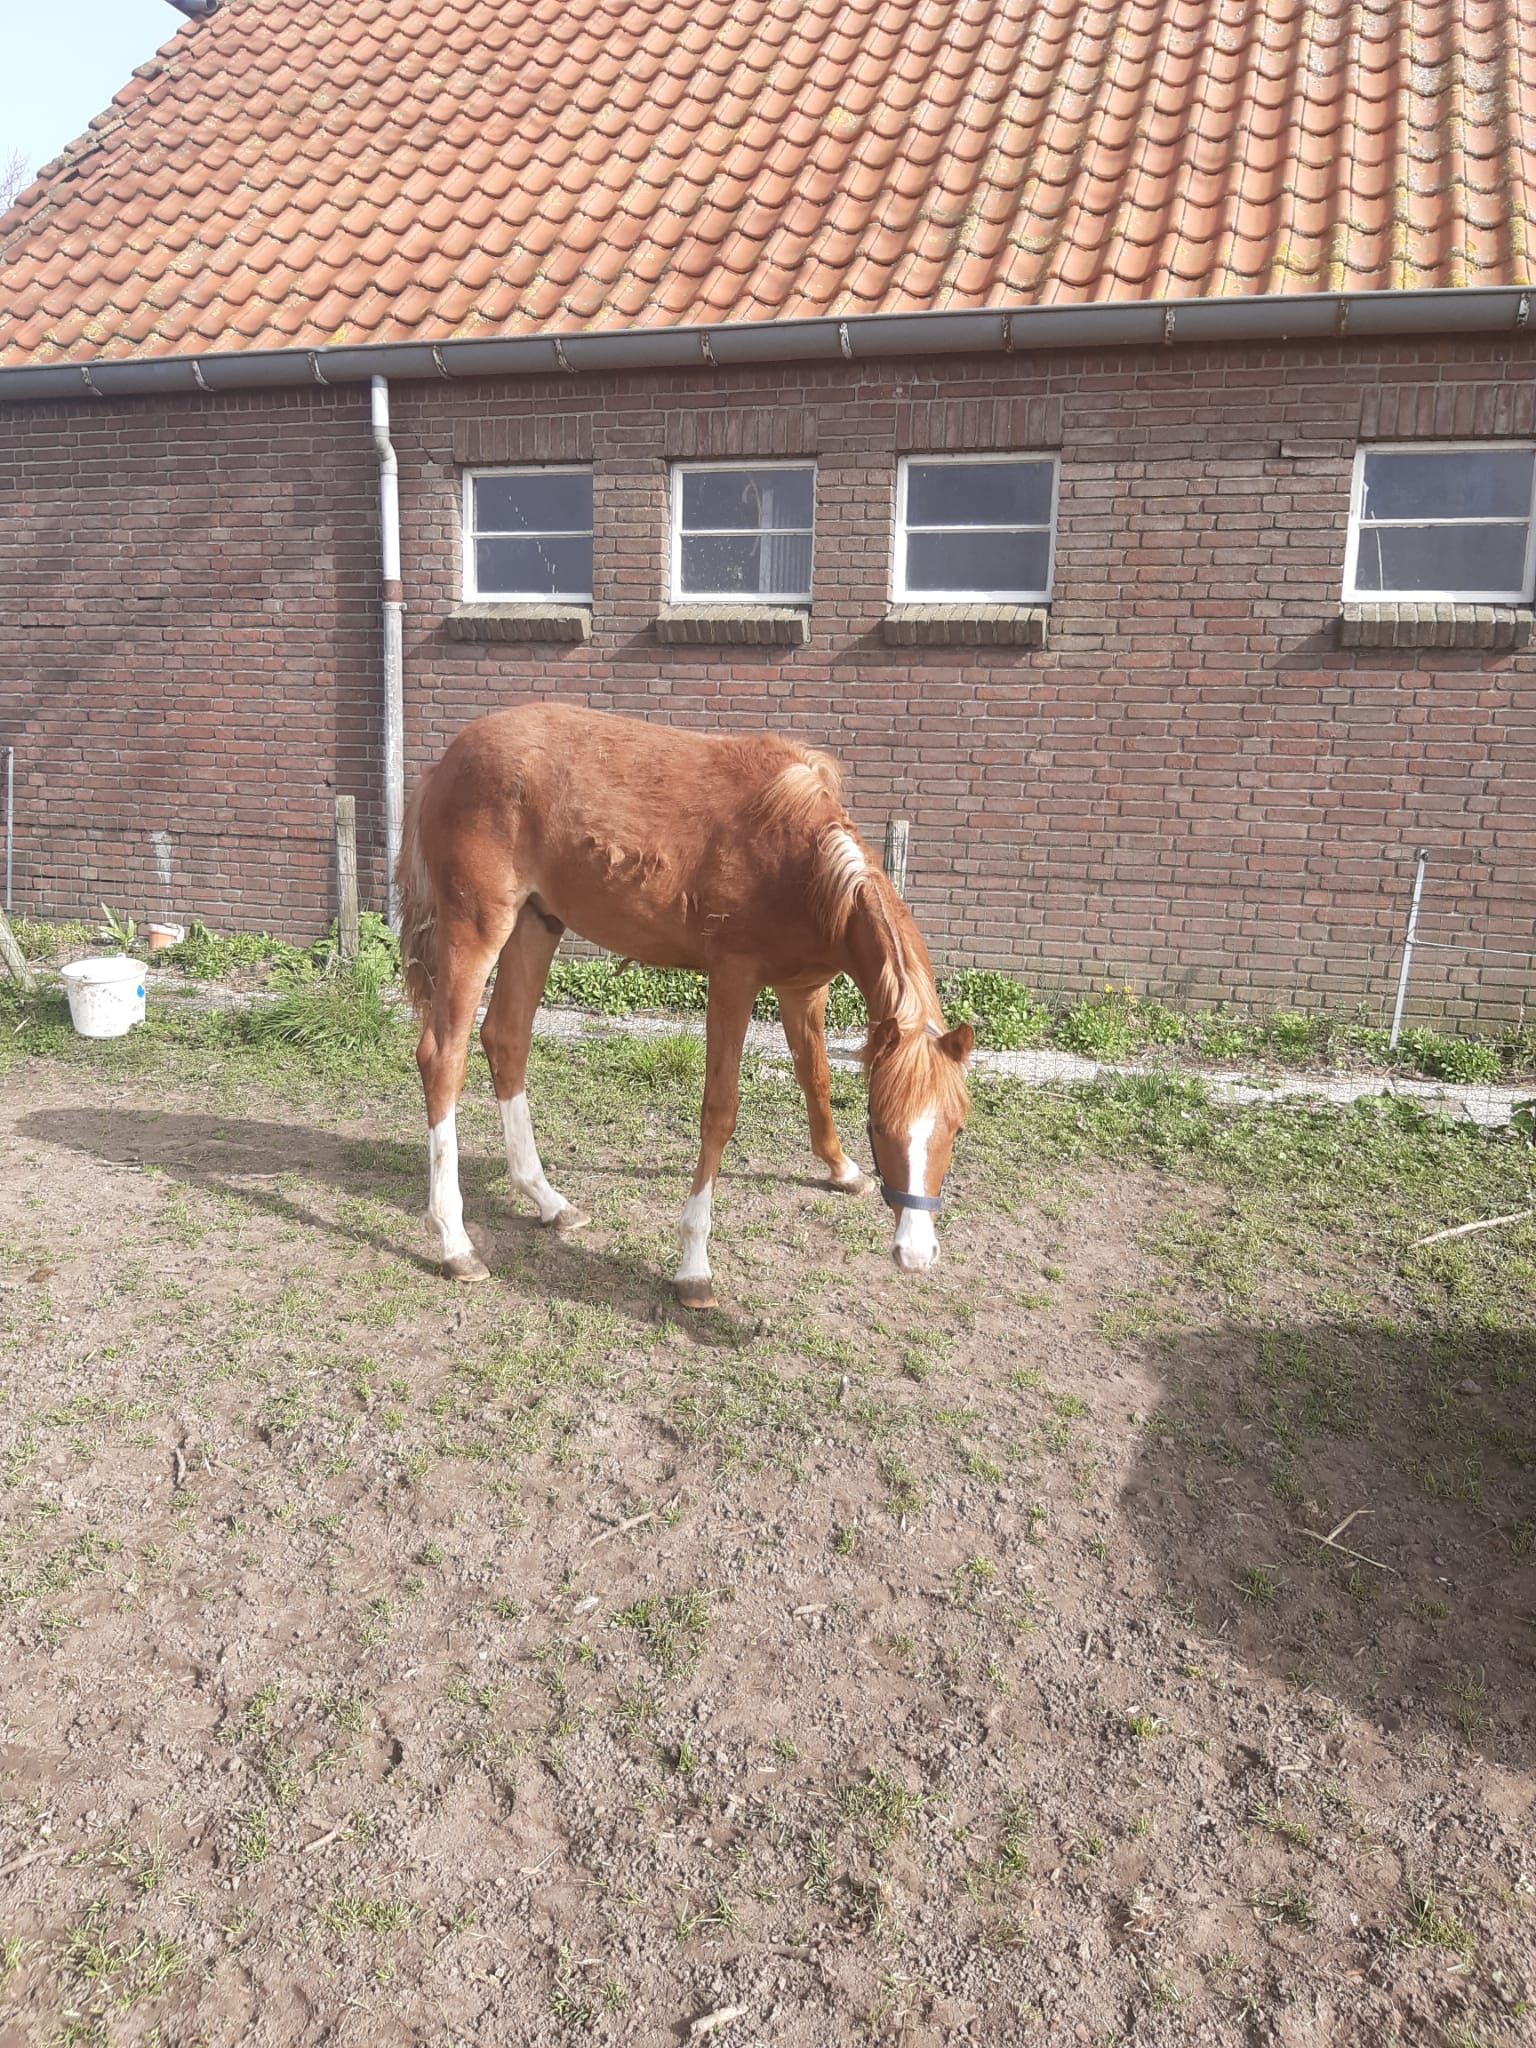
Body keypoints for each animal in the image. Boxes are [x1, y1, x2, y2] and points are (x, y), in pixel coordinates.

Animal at [395, 703, 973, 1308]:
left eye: (956, 1128)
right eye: (880, 1125)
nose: (916, 1253)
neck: (799, 859)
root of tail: (445, 763)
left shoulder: (801, 990)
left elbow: (815, 1078)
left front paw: (842, 1169)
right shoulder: (733, 981)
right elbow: (719, 1112)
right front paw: (695, 1265)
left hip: (536, 924)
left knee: (505, 1039)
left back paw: (549, 1201)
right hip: (477, 929)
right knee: (443, 1057)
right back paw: (455, 1243)